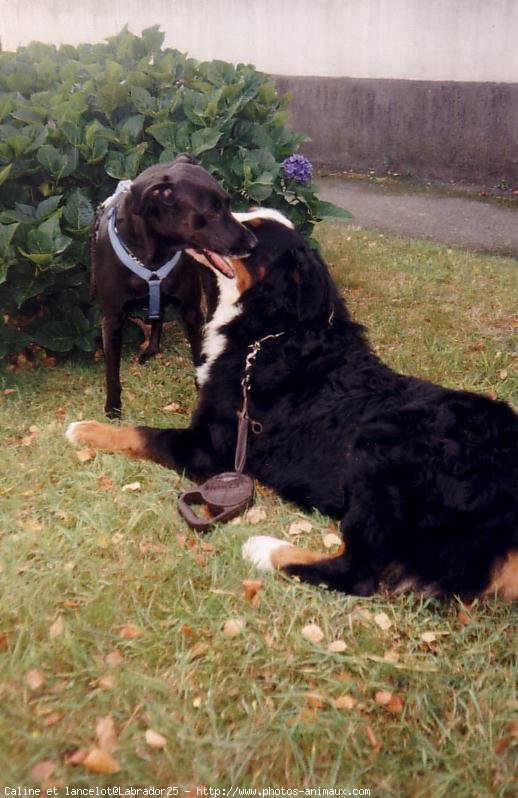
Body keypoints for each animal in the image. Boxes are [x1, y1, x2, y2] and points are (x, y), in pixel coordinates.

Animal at [69, 211, 518, 600]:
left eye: (251, 230)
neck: (272, 332)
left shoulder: (210, 445)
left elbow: (141, 433)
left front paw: (85, 429)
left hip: (381, 455)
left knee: (358, 573)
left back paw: (264, 547)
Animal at [92, 153, 258, 422]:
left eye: (227, 203)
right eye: (212, 211)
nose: (253, 244)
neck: (152, 257)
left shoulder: (192, 311)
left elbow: (199, 357)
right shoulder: (112, 319)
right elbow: (112, 371)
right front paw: (113, 408)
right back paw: (151, 349)